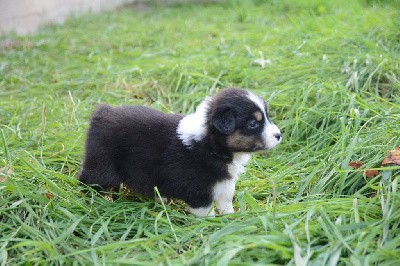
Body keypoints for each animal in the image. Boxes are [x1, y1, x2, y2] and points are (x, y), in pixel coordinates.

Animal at [79, 88, 282, 217]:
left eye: (267, 116)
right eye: (253, 124)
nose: (279, 135)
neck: (210, 145)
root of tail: (102, 114)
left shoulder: (224, 184)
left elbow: (226, 203)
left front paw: (231, 220)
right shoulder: (199, 191)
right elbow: (205, 212)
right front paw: (210, 228)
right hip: (101, 164)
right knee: (89, 180)